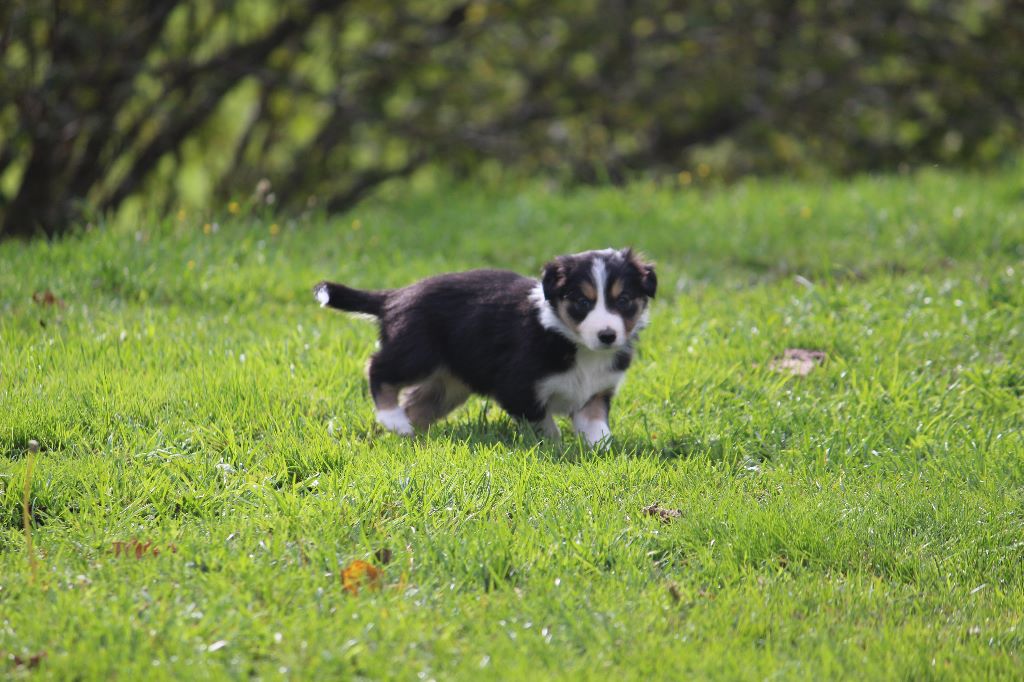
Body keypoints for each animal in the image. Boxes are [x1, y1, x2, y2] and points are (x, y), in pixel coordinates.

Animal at [313, 248, 656, 445]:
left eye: (624, 300)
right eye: (583, 302)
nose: (607, 336)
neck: (573, 342)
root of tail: (395, 296)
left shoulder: (596, 392)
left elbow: (596, 427)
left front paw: (602, 451)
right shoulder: (517, 387)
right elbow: (544, 423)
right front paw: (555, 447)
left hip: (447, 386)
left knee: (417, 404)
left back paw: (407, 433)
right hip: (416, 353)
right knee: (377, 368)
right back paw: (392, 419)